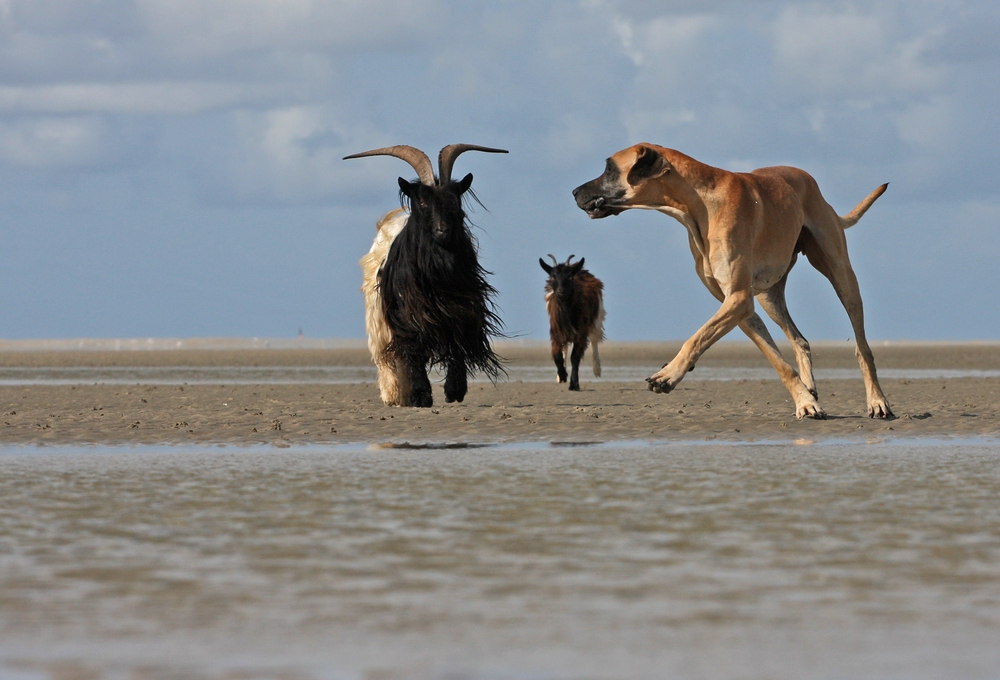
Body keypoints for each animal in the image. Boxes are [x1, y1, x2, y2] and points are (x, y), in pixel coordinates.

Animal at [352, 143, 508, 406]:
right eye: (422, 202)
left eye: (454, 200)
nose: (442, 231)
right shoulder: (407, 313)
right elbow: (413, 350)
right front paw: (420, 396)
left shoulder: (460, 309)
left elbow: (457, 343)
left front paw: (455, 390)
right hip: (377, 318)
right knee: (386, 356)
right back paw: (392, 395)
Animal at [544, 255, 604, 390]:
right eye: (553, 276)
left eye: (569, 277)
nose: (560, 292)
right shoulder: (556, 333)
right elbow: (557, 355)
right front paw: (562, 375)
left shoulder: (581, 334)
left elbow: (575, 358)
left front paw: (574, 384)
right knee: (565, 348)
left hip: (597, 317)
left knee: (595, 339)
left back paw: (597, 370)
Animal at [576, 145, 896, 418]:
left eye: (609, 168)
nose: (574, 191)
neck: (700, 203)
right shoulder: (739, 306)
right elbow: (775, 359)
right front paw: (805, 401)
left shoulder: (738, 299)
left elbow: (696, 338)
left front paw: (667, 375)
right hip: (769, 297)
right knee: (799, 340)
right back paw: (811, 388)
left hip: (842, 276)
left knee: (862, 347)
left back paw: (877, 401)